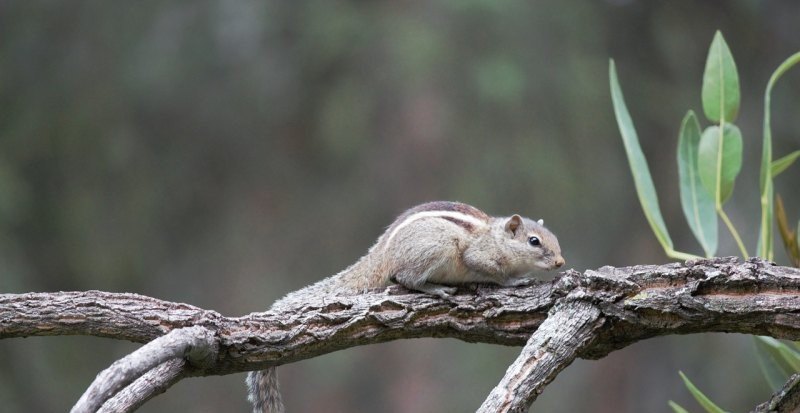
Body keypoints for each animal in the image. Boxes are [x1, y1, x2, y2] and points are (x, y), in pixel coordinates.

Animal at [247, 200, 564, 412]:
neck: (496, 237)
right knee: (405, 278)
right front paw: (516, 281)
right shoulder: (478, 257)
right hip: (437, 248)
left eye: (555, 239)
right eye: (534, 241)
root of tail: (382, 254)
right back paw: (435, 288)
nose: (561, 262)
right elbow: (495, 274)